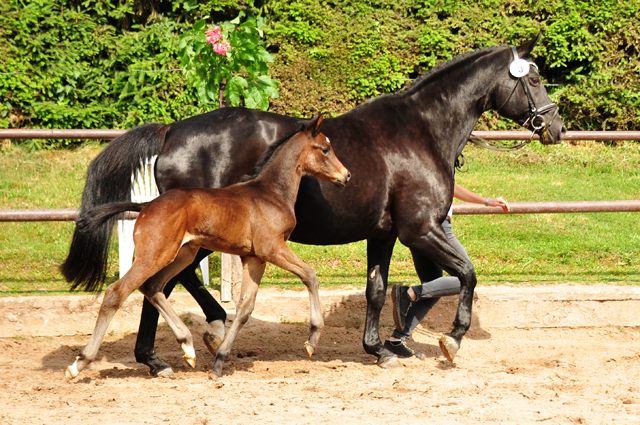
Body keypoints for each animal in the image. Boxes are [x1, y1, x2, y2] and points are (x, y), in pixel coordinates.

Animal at [65, 114, 350, 380]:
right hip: (156, 254)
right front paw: (312, 340)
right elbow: (310, 276)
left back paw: (187, 348)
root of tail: (146, 206)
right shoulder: (272, 248)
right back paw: (79, 363)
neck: (271, 193)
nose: (346, 175)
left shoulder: (254, 258)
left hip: (182, 254)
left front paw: (219, 361)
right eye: (325, 149)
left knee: (153, 287)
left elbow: (245, 308)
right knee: (117, 292)